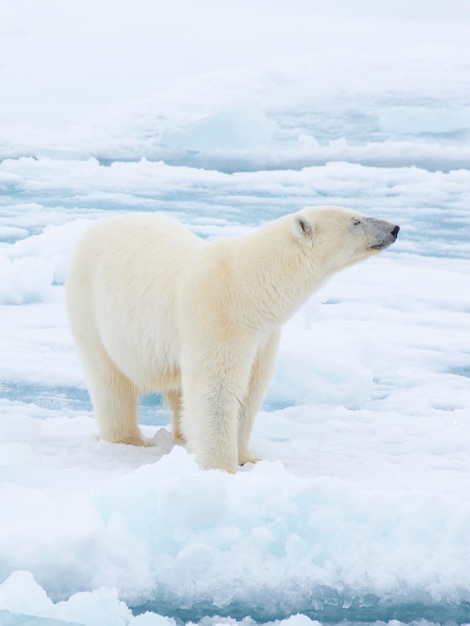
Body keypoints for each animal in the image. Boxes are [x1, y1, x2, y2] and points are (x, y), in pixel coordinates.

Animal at [65, 207, 396, 470]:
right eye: (356, 220)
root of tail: (99, 225)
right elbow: (218, 390)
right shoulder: (218, 316)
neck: (250, 288)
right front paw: (222, 468)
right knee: (109, 380)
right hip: (91, 308)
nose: (394, 228)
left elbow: (250, 390)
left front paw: (248, 457)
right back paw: (128, 439)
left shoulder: (263, 335)